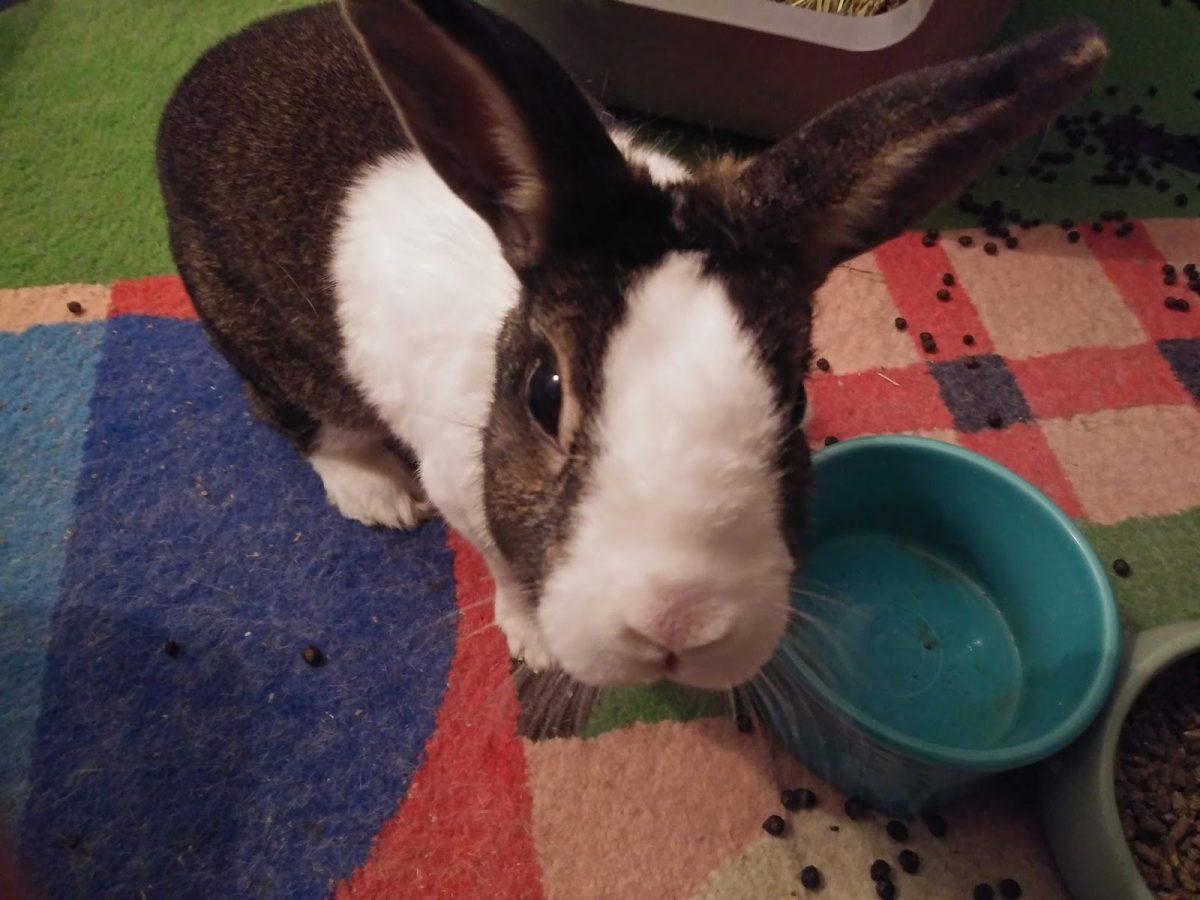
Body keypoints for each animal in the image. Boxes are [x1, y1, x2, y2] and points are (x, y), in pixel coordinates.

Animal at [157, 0, 1104, 691]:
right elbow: (503, 568)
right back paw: (376, 496)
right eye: (544, 394)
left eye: (796, 398)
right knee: (300, 416)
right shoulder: (465, 488)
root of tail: (216, 61)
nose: (677, 626)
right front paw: (536, 644)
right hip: (246, 322)